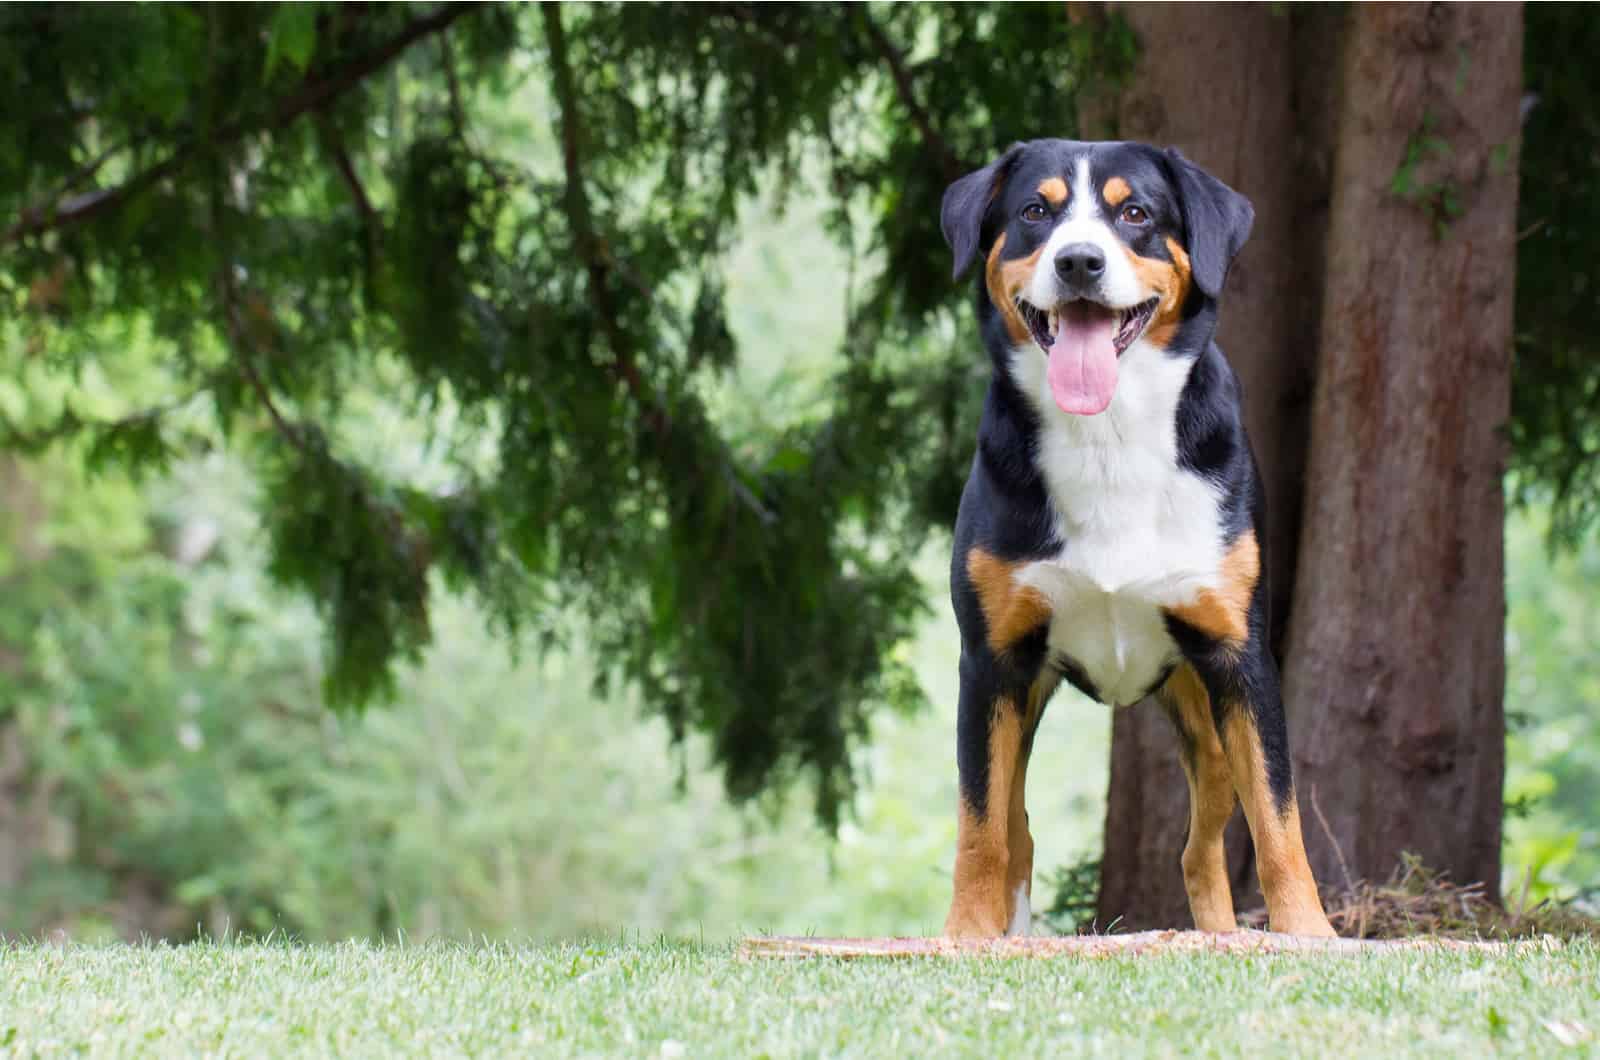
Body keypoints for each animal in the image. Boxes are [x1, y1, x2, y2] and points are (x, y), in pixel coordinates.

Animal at [934, 139, 1337, 941]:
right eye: (1037, 210)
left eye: (1136, 214)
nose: (1079, 262)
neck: (1108, 438)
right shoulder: (991, 663)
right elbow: (980, 824)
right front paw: (966, 935)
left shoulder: (1241, 657)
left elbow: (1279, 817)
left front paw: (1309, 932)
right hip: (1026, 699)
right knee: (1017, 826)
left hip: (1205, 725)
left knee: (1200, 847)